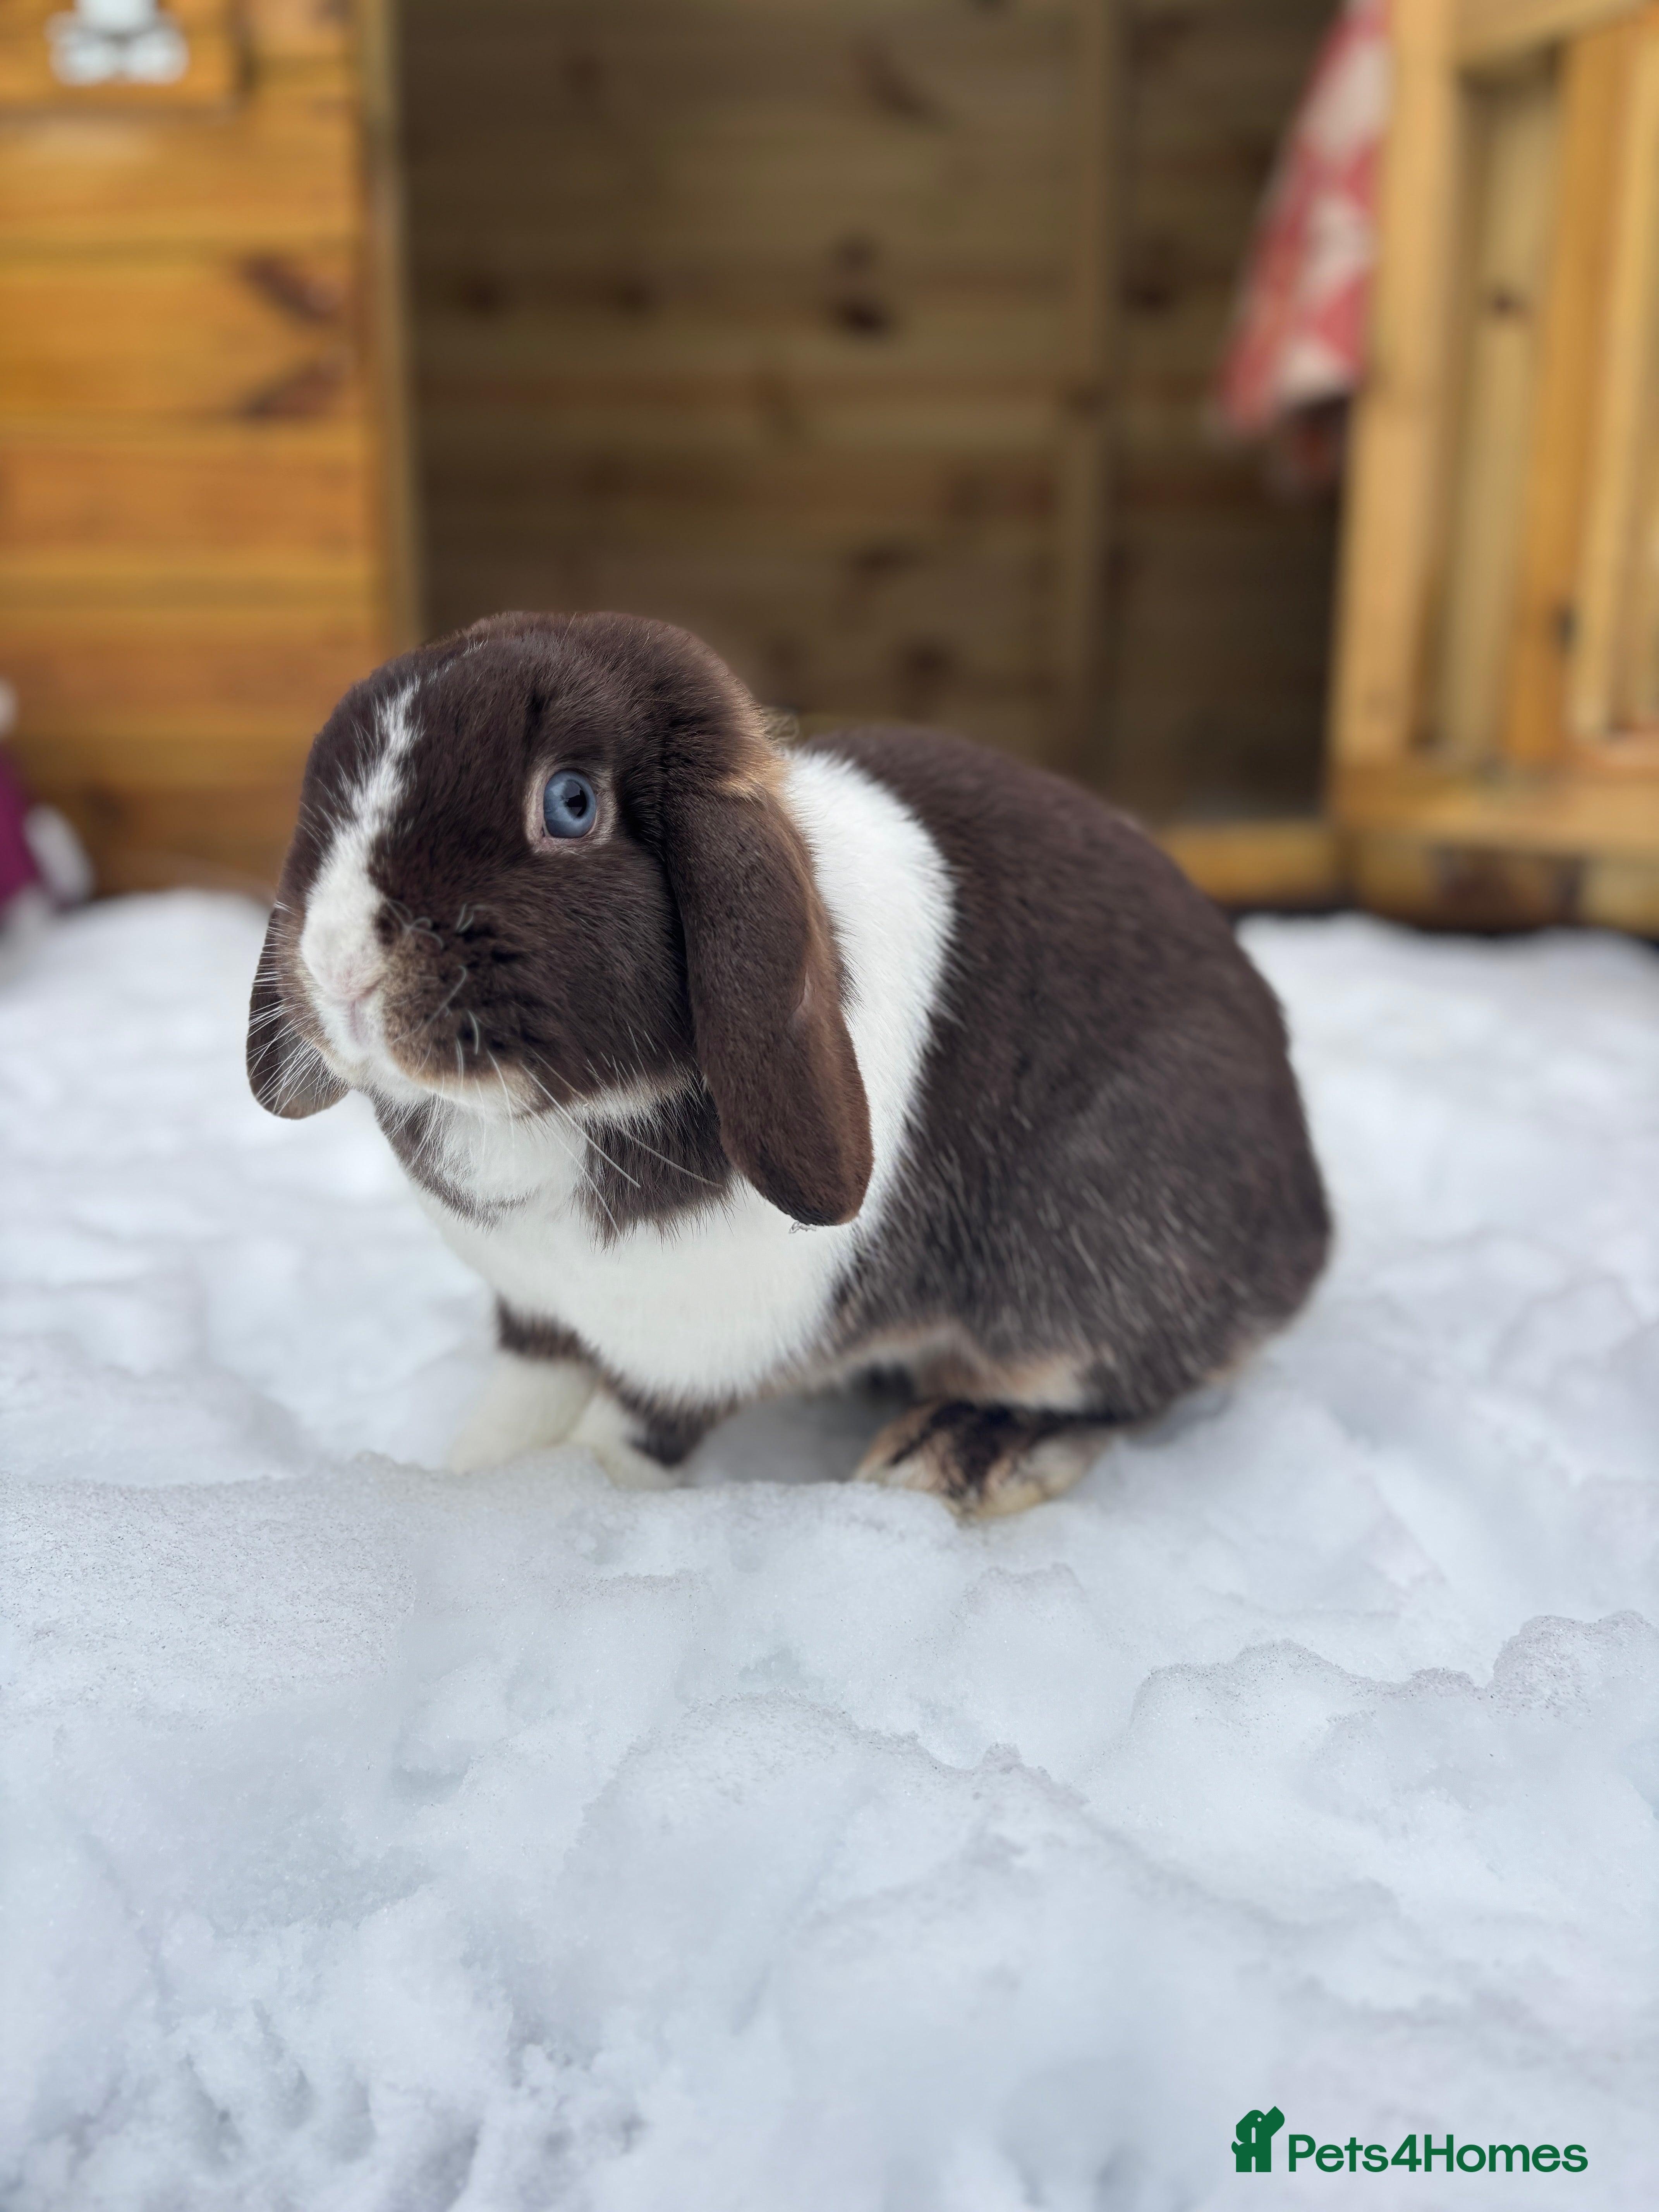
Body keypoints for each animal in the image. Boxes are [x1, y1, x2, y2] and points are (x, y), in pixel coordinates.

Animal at [248, 611, 1330, 1516]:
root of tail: (1308, 1226)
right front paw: (475, 1482)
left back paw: (951, 1454)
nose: (338, 966)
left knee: (1106, 1388)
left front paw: (575, 1500)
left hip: (1091, 1268)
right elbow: (523, 1396)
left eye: (570, 803)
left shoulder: (694, 1345)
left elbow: (631, 1428)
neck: (550, 1122)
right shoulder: (537, 1314)